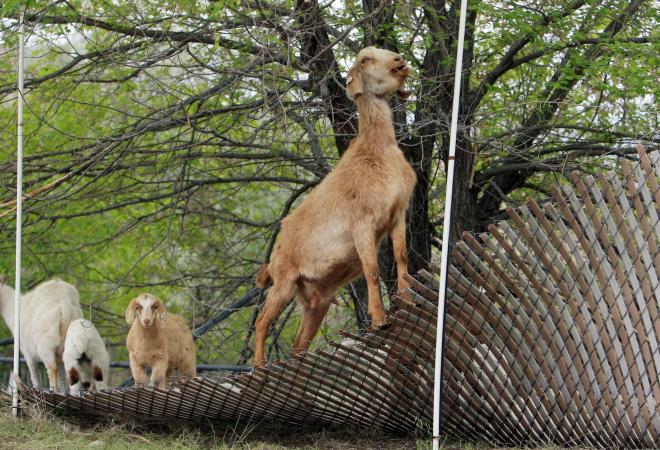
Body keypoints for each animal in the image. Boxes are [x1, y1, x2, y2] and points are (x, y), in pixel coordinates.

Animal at [254, 47, 418, 368]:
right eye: (365, 59)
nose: (399, 61)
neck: (375, 151)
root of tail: (273, 256)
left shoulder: (398, 214)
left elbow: (402, 258)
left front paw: (408, 300)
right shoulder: (362, 223)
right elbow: (372, 270)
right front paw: (379, 320)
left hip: (315, 302)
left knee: (298, 344)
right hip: (283, 282)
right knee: (262, 322)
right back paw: (257, 367)